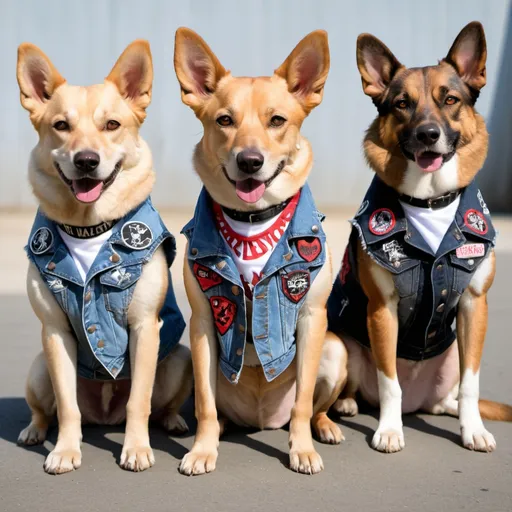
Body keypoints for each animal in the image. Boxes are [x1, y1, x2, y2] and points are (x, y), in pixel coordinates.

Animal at [174, 29, 346, 476]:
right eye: (224, 120)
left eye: (277, 121)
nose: (250, 161)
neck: (252, 218)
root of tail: (263, 419)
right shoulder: (203, 323)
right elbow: (204, 405)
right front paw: (202, 449)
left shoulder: (311, 318)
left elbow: (303, 402)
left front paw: (302, 449)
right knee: (216, 411)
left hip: (335, 350)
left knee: (315, 406)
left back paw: (324, 427)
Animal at [328, 21, 512, 452]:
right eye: (401, 104)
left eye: (450, 99)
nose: (428, 135)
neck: (429, 200)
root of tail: (420, 404)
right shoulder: (382, 310)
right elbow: (389, 383)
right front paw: (389, 430)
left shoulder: (474, 306)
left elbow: (472, 384)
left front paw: (473, 429)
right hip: (343, 341)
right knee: (364, 389)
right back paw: (348, 405)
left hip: (453, 355)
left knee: (450, 397)